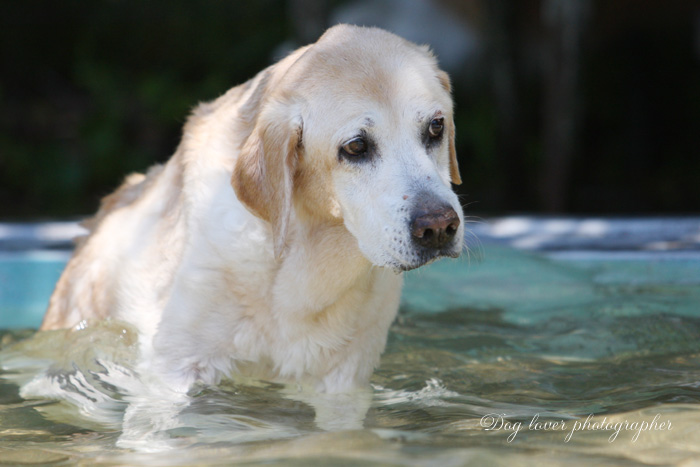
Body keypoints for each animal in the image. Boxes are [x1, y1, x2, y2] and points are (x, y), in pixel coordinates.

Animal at [39, 24, 464, 394]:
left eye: (436, 127)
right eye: (356, 147)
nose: (439, 227)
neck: (304, 255)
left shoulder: (344, 380)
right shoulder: (175, 369)